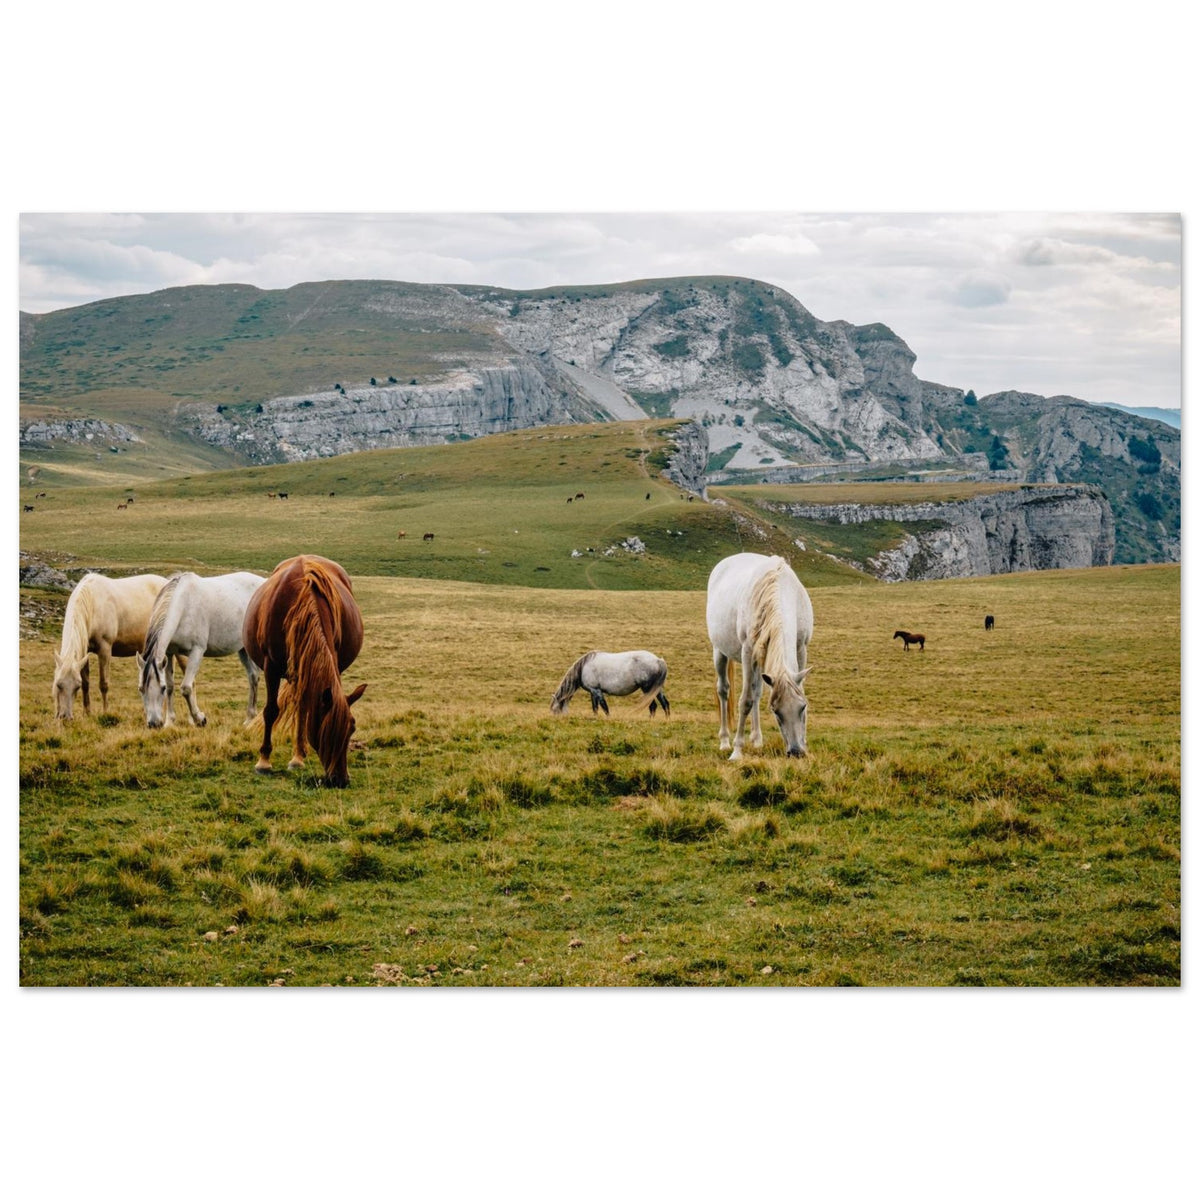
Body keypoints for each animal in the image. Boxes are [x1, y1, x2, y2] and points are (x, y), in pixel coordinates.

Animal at [52, 572, 168, 719]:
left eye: (75, 687)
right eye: (59, 684)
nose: (65, 717)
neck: (93, 602)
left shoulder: (105, 649)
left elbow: (104, 684)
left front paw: (105, 712)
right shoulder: (85, 652)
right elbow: (86, 682)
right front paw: (87, 713)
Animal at [136, 571, 265, 729]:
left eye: (162, 688)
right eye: (141, 689)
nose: (154, 724)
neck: (184, 607)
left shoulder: (197, 651)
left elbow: (186, 688)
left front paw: (199, 719)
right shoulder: (169, 653)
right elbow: (172, 686)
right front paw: (170, 722)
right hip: (243, 649)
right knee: (253, 676)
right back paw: (249, 718)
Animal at [241, 554, 366, 787]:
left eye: (351, 729)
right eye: (326, 729)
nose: (340, 780)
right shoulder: (271, 666)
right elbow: (271, 711)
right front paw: (263, 761)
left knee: (302, 707)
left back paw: (298, 756)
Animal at [706, 553, 813, 760]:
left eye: (802, 707)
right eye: (776, 711)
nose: (796, 751)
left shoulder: (801, 647)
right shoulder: (748, 651)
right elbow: (745, 701)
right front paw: (737, 750)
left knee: (756, 691)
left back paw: (756, 739)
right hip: (720, 652)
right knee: (723, 690)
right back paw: (725, 741)